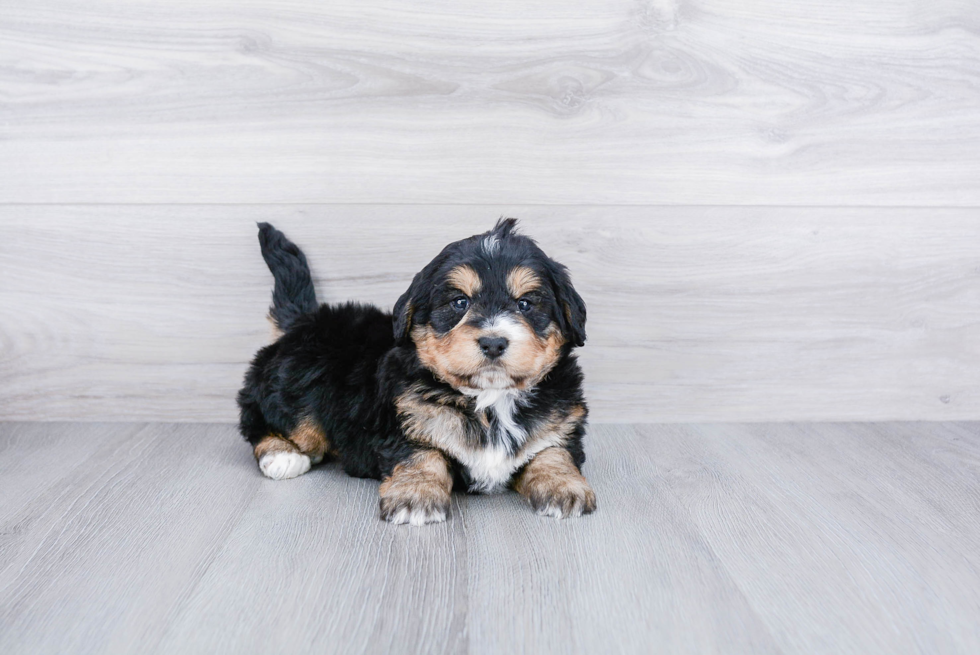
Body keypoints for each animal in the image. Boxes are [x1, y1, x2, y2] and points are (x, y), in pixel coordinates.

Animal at [235, 222, 596, 528]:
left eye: (525, 305)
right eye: (459, 302)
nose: (493, 342)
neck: (490, 399)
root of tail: (305, 320)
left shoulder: (561, 422)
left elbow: (554, 452)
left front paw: (565, 487)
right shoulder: (407, 420)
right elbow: (421, 456)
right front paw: (416, 497)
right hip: (295, 393)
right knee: (261, 421)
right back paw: (281, 456)